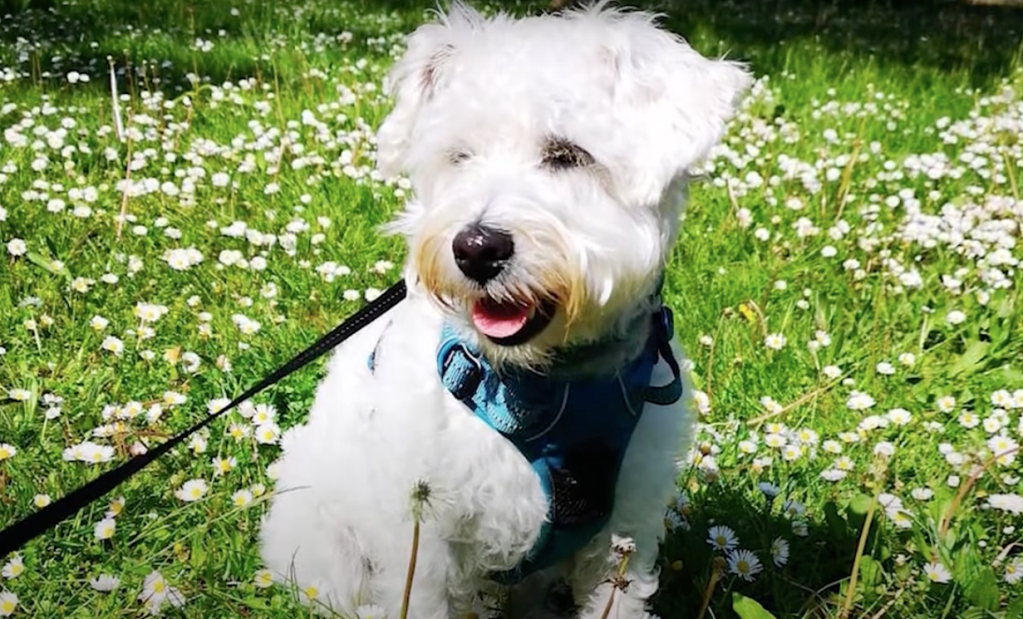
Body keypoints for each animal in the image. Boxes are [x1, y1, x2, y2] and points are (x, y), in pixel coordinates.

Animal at [259, 2, 748, 613]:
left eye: (568, 155)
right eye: (460, 156)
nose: (475, 248)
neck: (546, 384)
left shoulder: (625, 532)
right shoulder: (423, 539)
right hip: (331, 551)